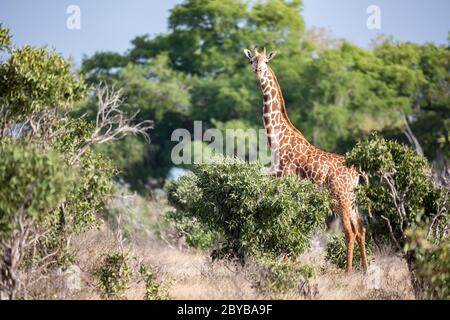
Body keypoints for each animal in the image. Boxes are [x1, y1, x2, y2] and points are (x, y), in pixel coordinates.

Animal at [246, 47, 370, 272]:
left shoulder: (286, 178)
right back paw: (365, 271)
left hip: (341, 197)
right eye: (252, 60)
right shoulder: (276, 177)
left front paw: (285, 261)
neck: (277, 140)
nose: (258, 71)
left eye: (266, 61)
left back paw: (348, 272)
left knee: (350, 231)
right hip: (352, 198)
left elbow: (288, 219)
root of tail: (357, 171)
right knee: (361, 228)